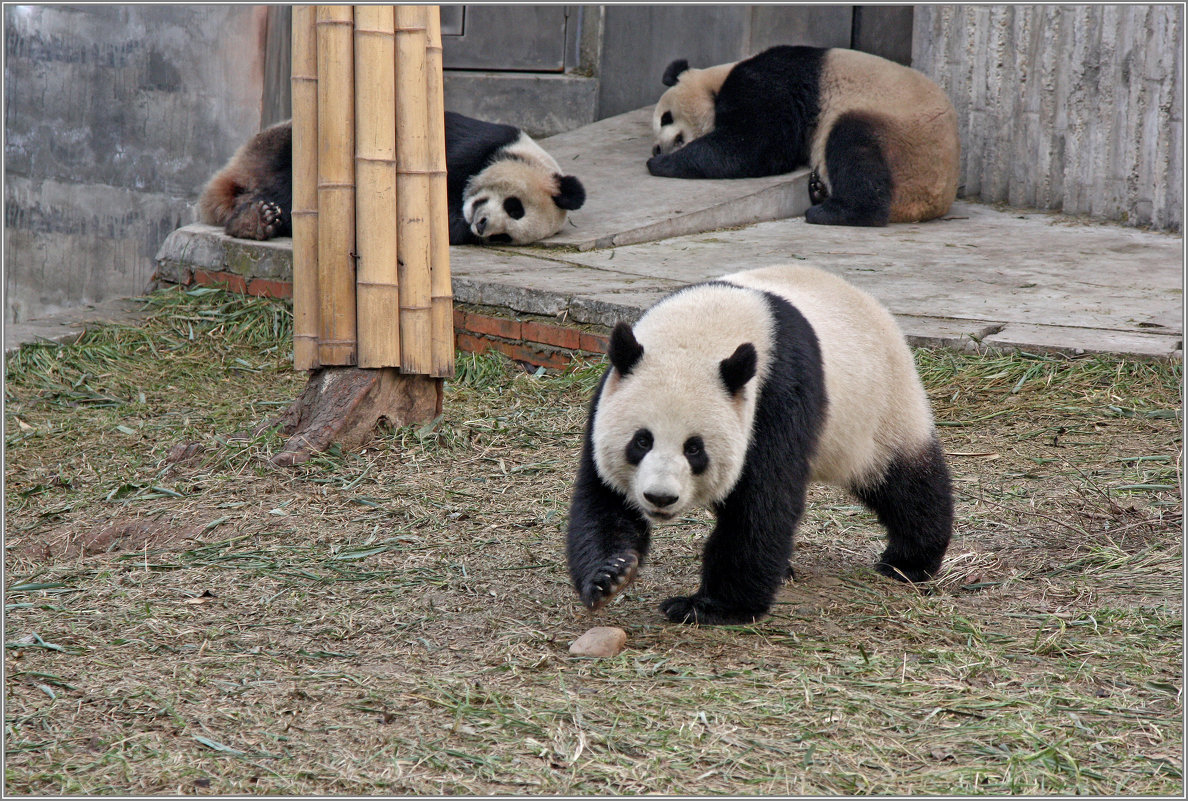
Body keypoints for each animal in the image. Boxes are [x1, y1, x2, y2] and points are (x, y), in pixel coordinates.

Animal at [200, 109, 589, 243]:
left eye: (503, 237)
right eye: (514, 206)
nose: (481, 225)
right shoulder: (476, 142)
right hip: (283, 144)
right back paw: (253, 218)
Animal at [565, 263, 955, 622]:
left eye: (694, 448)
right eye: (641, 441)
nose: (660, 498)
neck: (700, 330)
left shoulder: (777, 393)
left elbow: (762, 502)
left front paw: (709, 607)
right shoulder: (609, 394)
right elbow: (602, 495)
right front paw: (610, 575)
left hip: (880, 405)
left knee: (904, 481)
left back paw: (909, 559)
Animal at [646, 45, 959, 225]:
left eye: (666, 118)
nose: (658, 149)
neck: (718, 79)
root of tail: (929, 207)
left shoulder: (770, 83)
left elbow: (755, 145)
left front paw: (660, 164)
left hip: (906, 139)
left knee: (852, 143)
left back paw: (833, 212)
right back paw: (818, 190)